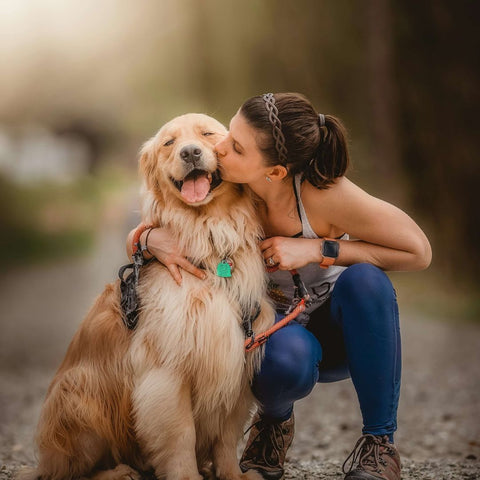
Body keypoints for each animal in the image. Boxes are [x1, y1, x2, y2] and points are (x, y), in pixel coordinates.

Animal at [23, 113, 274, 480]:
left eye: (207, 134)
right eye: (169, 143)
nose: (190, 152)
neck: (209, 240)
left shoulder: (237, 359)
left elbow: (227, 437)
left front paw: (232, 474)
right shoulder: (167, 369)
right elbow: (180, 435)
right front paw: (187, 476)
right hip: (82, 395)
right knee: (69, 471)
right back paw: (118, 472)